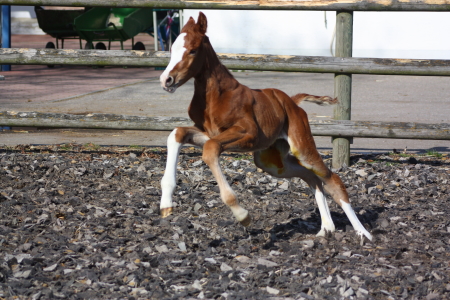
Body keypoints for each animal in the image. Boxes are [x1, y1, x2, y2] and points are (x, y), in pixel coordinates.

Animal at [158, 12, 372, 240]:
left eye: (192, 50)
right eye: (172, 49)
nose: (166, 79)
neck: (217, 96)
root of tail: (292, 102)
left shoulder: (247, 133)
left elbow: (210, 149)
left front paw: (242, 215)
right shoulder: (208, 133)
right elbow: (177, 133)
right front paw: (166, 204)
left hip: (302, 147)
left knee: (331, 178)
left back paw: (363, 233)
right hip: (271, 161)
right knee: (311, 177)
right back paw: (326, 228)